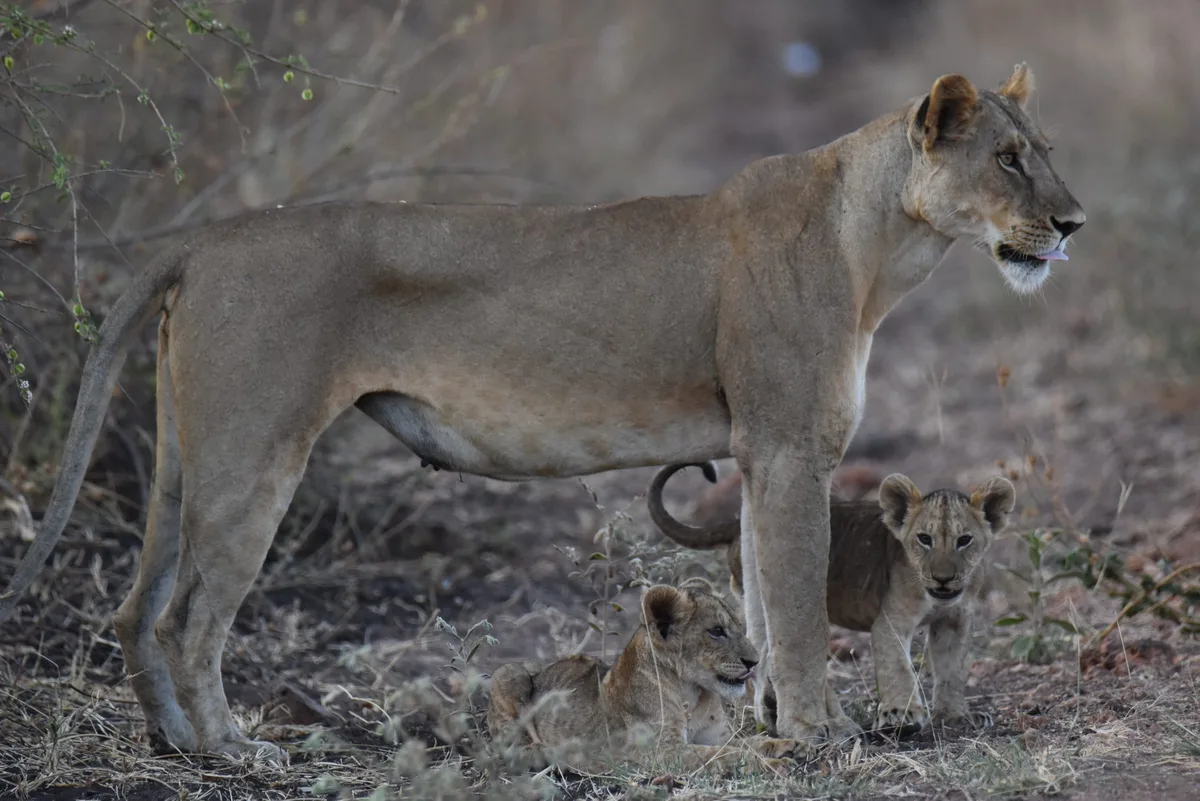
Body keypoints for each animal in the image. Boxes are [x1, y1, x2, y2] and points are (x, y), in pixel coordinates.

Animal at [487, 578, 796, 772]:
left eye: (739, 627)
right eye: (716, 631)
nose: (755, 662)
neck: (693, 692)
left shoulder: (717, 737)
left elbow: (748, 742)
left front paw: (787, 744)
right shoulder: (662, 753)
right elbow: (725, 754)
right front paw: (776, 764)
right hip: (507, 672)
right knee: (507, 747)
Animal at [648, 463, 1015, 735]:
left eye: (964, 540)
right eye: (924, 539)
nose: (943, 578)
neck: (937, 598)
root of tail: (737, 525)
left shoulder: (955, 620)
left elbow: (952, 669)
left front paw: (956, 716)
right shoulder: (891, 621)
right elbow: (898, 667)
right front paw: (902, 716)